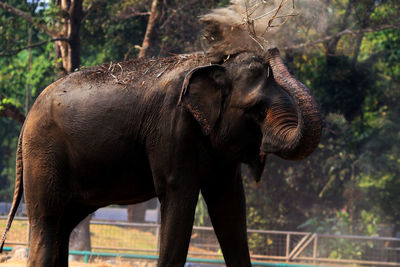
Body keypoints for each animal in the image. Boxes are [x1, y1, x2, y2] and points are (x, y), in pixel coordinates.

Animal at [0, 47, 320, 266]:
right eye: (256, 109)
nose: (273, 50)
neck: (216, 65)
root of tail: (26, 119)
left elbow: (229, 205)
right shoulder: (171, 128)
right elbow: (180, 196)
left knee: (63, 225)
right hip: (43, 154)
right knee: (47, 222)